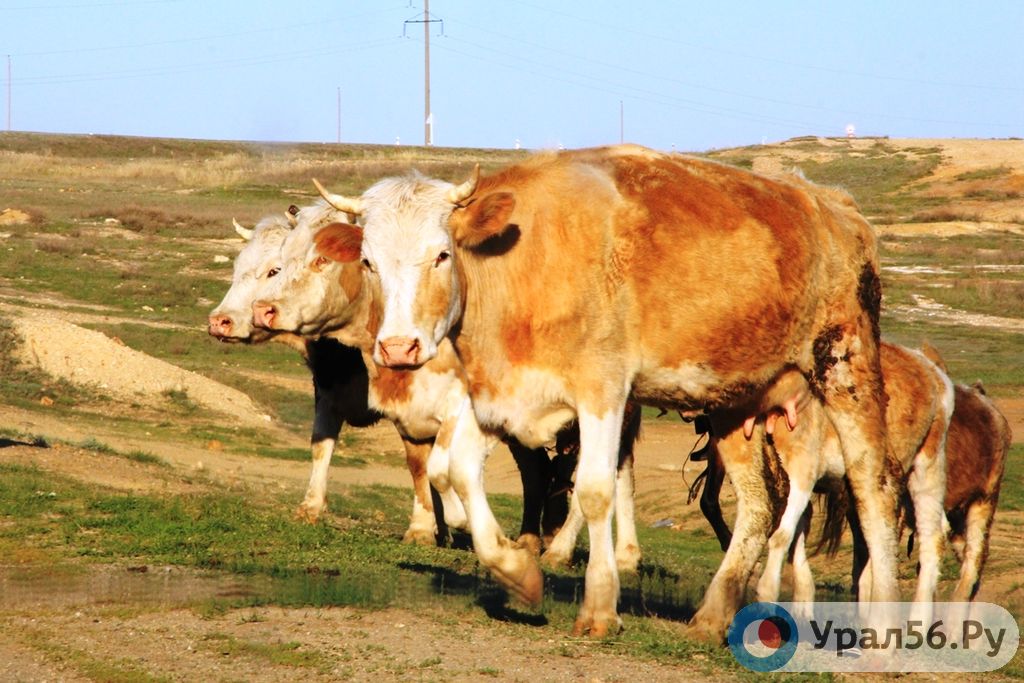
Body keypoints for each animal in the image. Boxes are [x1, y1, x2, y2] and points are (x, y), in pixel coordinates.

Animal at [317, 144, 899, 641]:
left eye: (441, 255)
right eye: (368, 262)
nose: (398, 347)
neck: (524, 265)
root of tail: (834, 203)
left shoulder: (603, 389)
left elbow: (594, 491)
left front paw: (599, 609)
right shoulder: (500, 395)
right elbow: (458, 472)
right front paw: (518, 572)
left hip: (845, 366)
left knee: (874, 487)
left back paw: (882, 633)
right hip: (734, 403)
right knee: (759, 505)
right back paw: (713, 616)